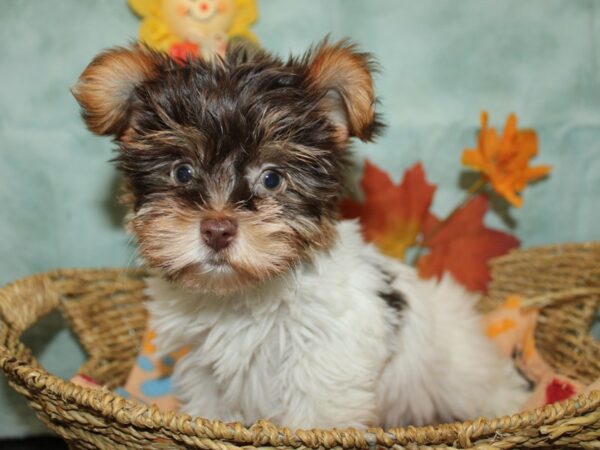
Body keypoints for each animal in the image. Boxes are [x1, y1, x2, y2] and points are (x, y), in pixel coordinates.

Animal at [72, 39, 528, 428]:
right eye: (182, 172)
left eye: (273, 178)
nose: (217, 230)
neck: (242, 293)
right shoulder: (205, 367)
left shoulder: (327, 361)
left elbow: (317, 418)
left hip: (462, 373)